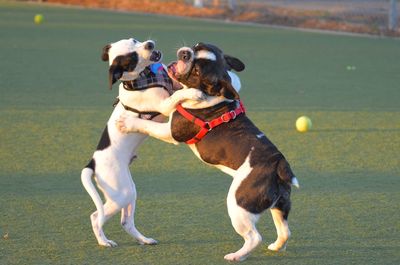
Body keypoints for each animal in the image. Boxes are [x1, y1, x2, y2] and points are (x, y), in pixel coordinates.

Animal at [81, 38, 205, 246]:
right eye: (131, 58)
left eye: (134, 40)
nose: (149, 44)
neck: (145, 77)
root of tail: (93, 163)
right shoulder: (164, 105)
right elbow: (178, 95)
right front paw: (195, 93)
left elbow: (178, 86)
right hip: (121, 194)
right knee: (95, 217)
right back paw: (104, 242)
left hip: (129, 191)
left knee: (126, 222)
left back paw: (145, 240)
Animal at [117, 43, 298, 260]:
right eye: (197, 46)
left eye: (196, 72)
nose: (185, 53)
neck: (215, 96)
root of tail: (279, 164)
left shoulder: (172, 131)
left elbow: (147, 125)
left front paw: (128, 123)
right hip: (280, 204)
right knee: (285, 229)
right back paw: (276, 247)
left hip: (239, 205)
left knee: (254, 237)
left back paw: (237, 256)